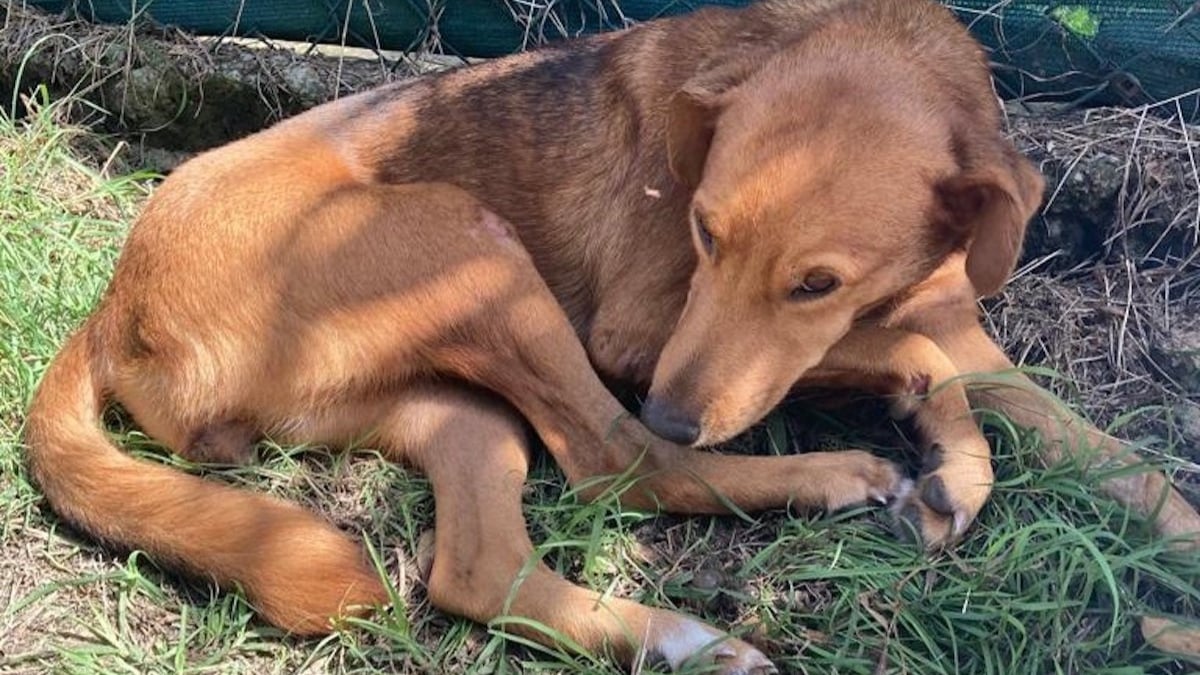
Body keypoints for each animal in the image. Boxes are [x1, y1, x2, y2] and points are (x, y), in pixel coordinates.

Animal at [21, 0, 1200, 667]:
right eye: (703, 230)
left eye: (816, 282)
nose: (678, 408)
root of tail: (113, 306)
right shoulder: (643, 338)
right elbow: (903, 366)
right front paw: (947, 456)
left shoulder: (962, 328)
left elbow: (1124, 463)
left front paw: (1171, 547)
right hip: (467, 241)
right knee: (617, 461)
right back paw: (823, 484)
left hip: (454, 408)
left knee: (481, 566)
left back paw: (682, 641)